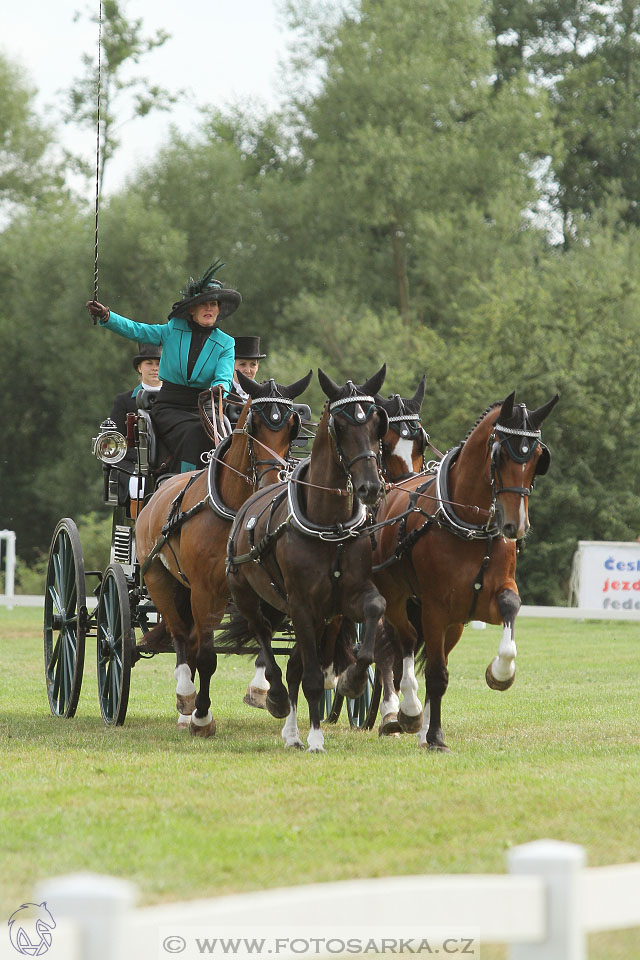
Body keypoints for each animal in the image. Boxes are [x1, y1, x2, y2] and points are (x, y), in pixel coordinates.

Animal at [135, 370, 312, 736]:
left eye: (293, 427)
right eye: (254, 424)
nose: (271, 482)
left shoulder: (267, 587)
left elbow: (265, 639)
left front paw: (266, 693)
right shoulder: (205, 590)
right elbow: (206, 656)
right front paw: (202, 717)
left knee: (187, 637)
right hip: (160, 580)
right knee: (180, 636)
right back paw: (186, 698)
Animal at [222, 366, 388, 752]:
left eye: (377, 423)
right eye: (339, 425)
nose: (371, 488)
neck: (330, 526)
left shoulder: (344, 601)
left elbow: (375, 611)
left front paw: (353, 680)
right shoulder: (300, 604)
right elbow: (309, 676)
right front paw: (314, 738)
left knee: (296, 662)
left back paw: (292, 732)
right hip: (251, 596)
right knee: (265, 640)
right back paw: (277, 700)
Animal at [372, 390, 556, 752]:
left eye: (538, 459)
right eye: (499, 455)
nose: (515, 526)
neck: (470, 526)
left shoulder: (481, 602)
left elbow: (511, 609)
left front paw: (499, 674)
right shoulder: (433, 608)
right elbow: (436, 674)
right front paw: (435, 736)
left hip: (454, 623)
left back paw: (421, 727)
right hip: (399, 600)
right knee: (404, 642)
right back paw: (407, 712)